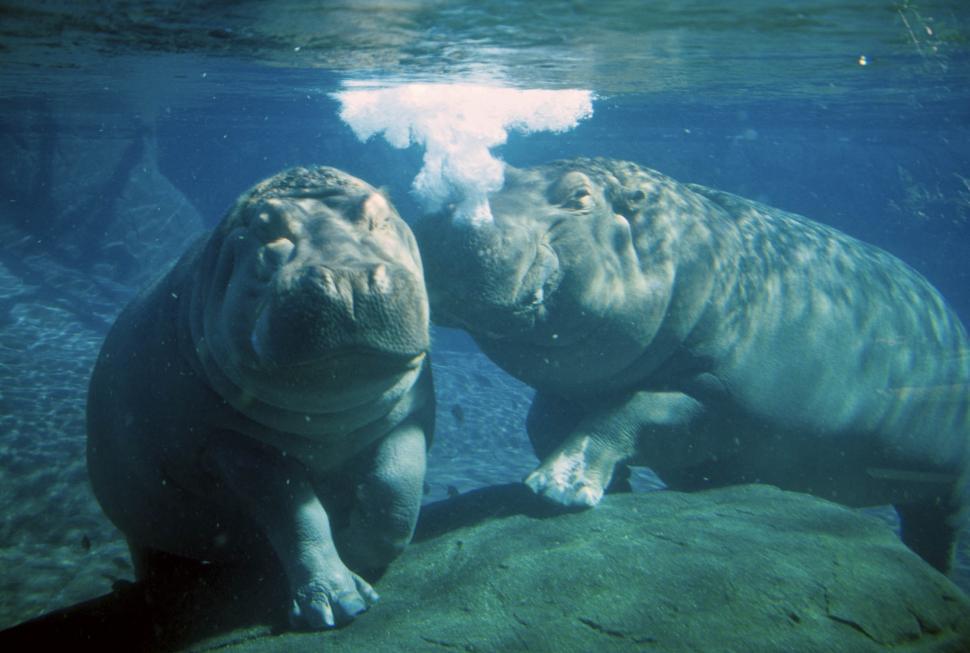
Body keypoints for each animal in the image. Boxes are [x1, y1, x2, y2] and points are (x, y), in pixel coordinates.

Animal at [87, 166, 434, 628]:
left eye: (378, 215)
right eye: (267, 230)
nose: (347, 278)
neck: (329, 418)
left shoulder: (407, 415)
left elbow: (395, 493)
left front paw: (357, 550)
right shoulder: (234, 444)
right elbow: (296, 518)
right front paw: (337, 603)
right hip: (139, 520)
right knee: (151, 558)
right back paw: (140, 591)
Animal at [416, 157, 970, 572]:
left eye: (579, 196)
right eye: (501, 172)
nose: (449, 213)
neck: (681, 259)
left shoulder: (720, 399)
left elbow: (630, 411)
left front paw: (558, 487)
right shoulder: (570, 387)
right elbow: (544, 422)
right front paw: (612, 485)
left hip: (945, 481)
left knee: (935, 526)